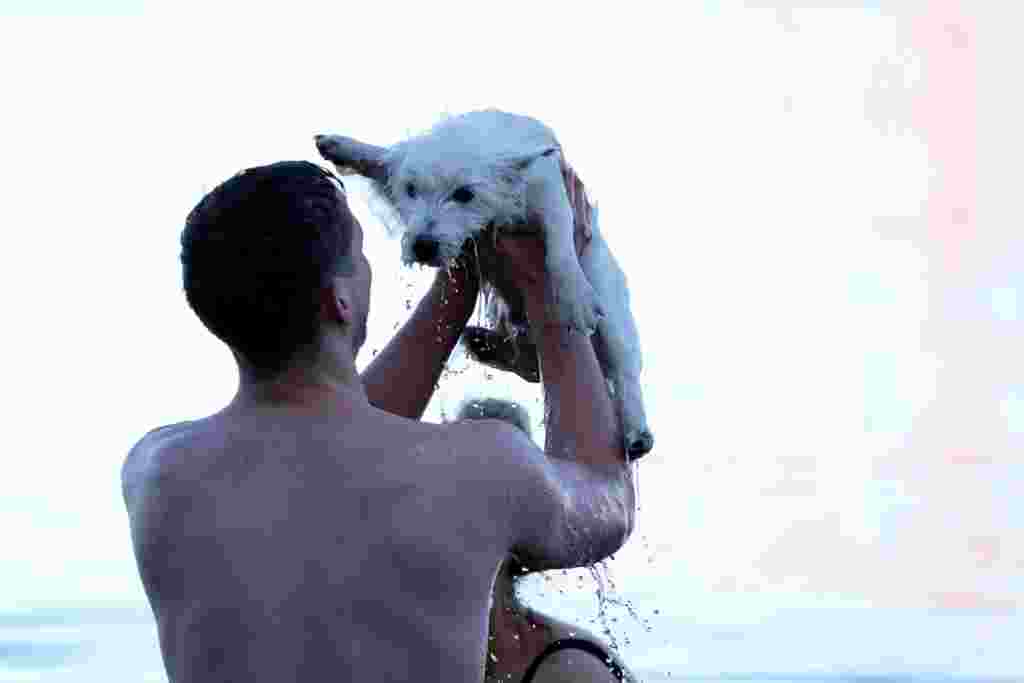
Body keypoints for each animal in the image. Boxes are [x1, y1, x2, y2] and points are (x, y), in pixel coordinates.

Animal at [315, 111, 651, 458]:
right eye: (411, 189)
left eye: (465, 194)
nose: (423, 246)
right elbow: (385, 158)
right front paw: (342, 146)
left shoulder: (547, 189)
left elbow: (560, 246)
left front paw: (574, 294)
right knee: (530, 364)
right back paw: (481, 342)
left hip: (613, 315)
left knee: (624, 374)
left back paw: (637, 432)